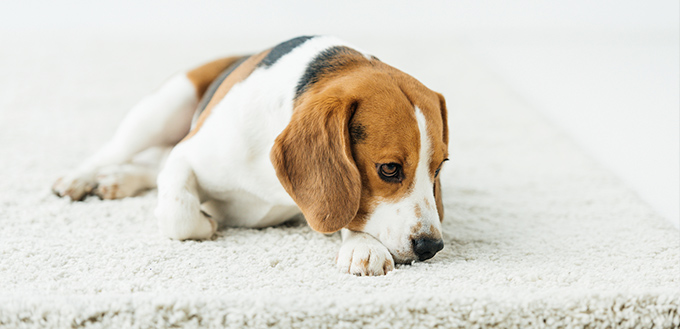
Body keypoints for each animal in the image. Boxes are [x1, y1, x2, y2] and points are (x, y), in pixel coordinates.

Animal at [51, 36, 446, 276]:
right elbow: (179, 213)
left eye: (439, 168)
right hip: (161, 109)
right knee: (117, 151)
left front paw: (362, 245)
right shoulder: (187, 154)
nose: (432, 246)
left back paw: (119, 180)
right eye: (389, 169)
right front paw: (206, 222)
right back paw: (80, 178)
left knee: (152, 166)